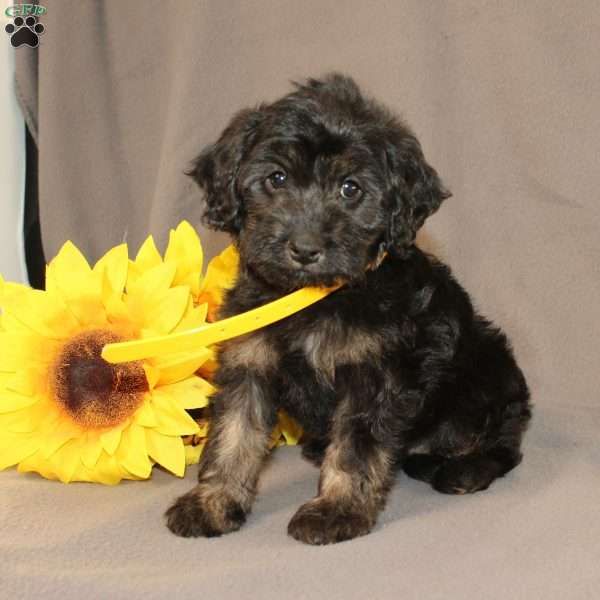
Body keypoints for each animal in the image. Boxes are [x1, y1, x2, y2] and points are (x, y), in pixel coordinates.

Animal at [164, 74, 528, 544]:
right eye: (276, 178)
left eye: (350, 188)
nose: (305, 249)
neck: (313, 298)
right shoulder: (249, 361)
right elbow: (233, 434)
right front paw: (212, 502)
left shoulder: (371, 374)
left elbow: (356, 447)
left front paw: (337, 510)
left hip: (488, 375)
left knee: (503, 445)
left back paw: (465, 469)